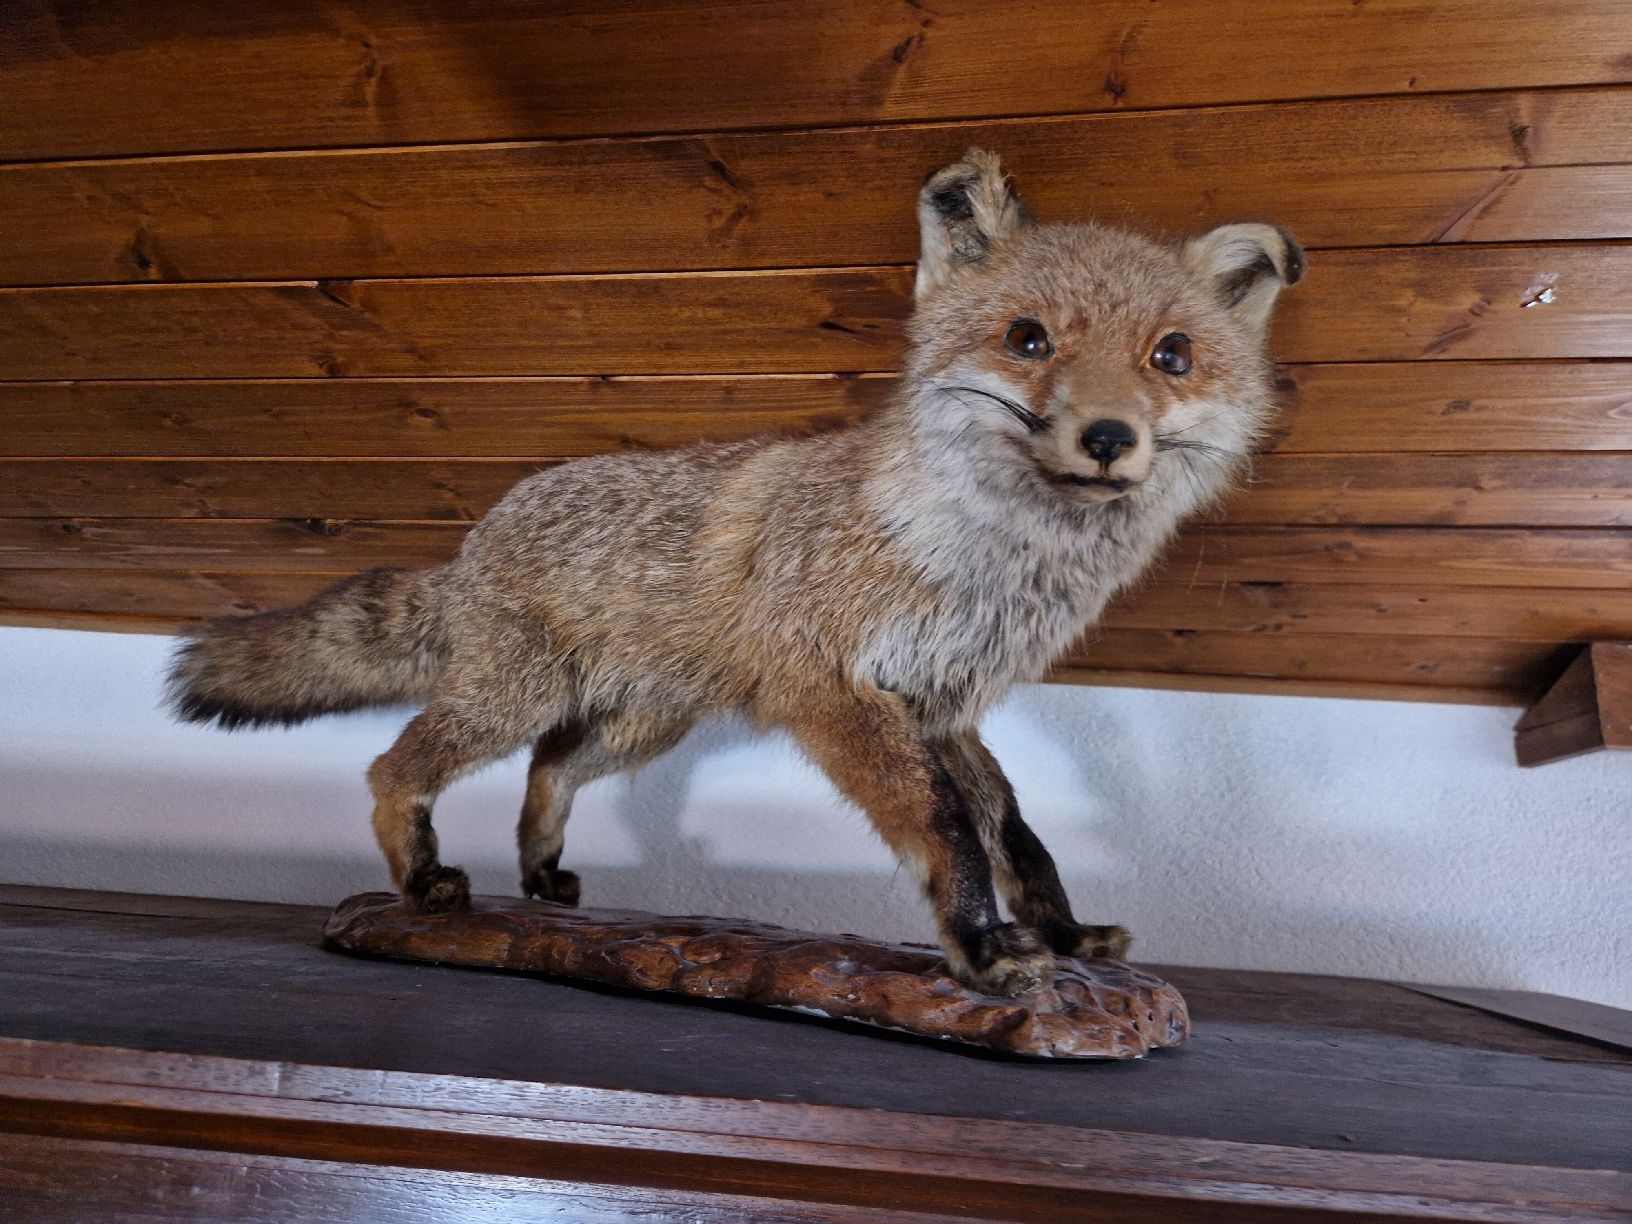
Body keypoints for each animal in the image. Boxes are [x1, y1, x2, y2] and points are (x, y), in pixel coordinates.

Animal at [167, 148, 1302, 997]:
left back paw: (538, 872)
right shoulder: (835, 692)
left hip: (642, 723)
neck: (985, 568)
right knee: (394, 766)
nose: (1109, 438)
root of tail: (477, 535)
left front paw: (1061, 937)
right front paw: (981, 950)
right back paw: (420, 881)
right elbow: (945, 830)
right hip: (510, 698)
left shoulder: (945, 704)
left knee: (548, 767)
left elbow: (1019, 838)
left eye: (1171, 356)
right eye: (1029, 340)